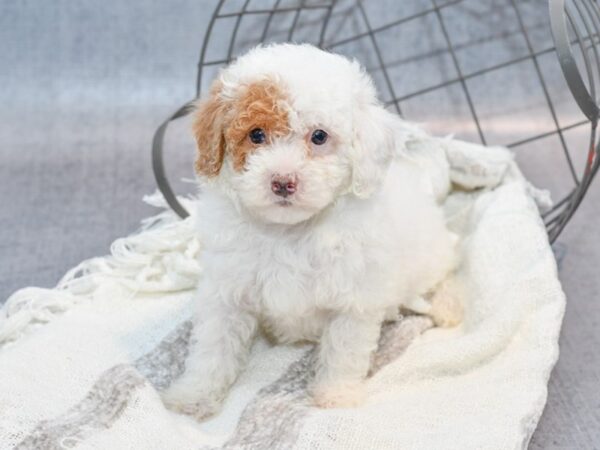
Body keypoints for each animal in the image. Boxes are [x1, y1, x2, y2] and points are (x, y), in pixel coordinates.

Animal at [162, 44, 458, 420]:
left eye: (319, 137)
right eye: (256, 134)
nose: (282, 181)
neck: (289, 232)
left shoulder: (353, 300)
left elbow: (344, 352)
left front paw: (336, 396)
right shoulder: (226, 290)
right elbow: (213, 346)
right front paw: (195, 394)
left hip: (430, 254)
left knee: (446, 270)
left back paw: (447, 306)